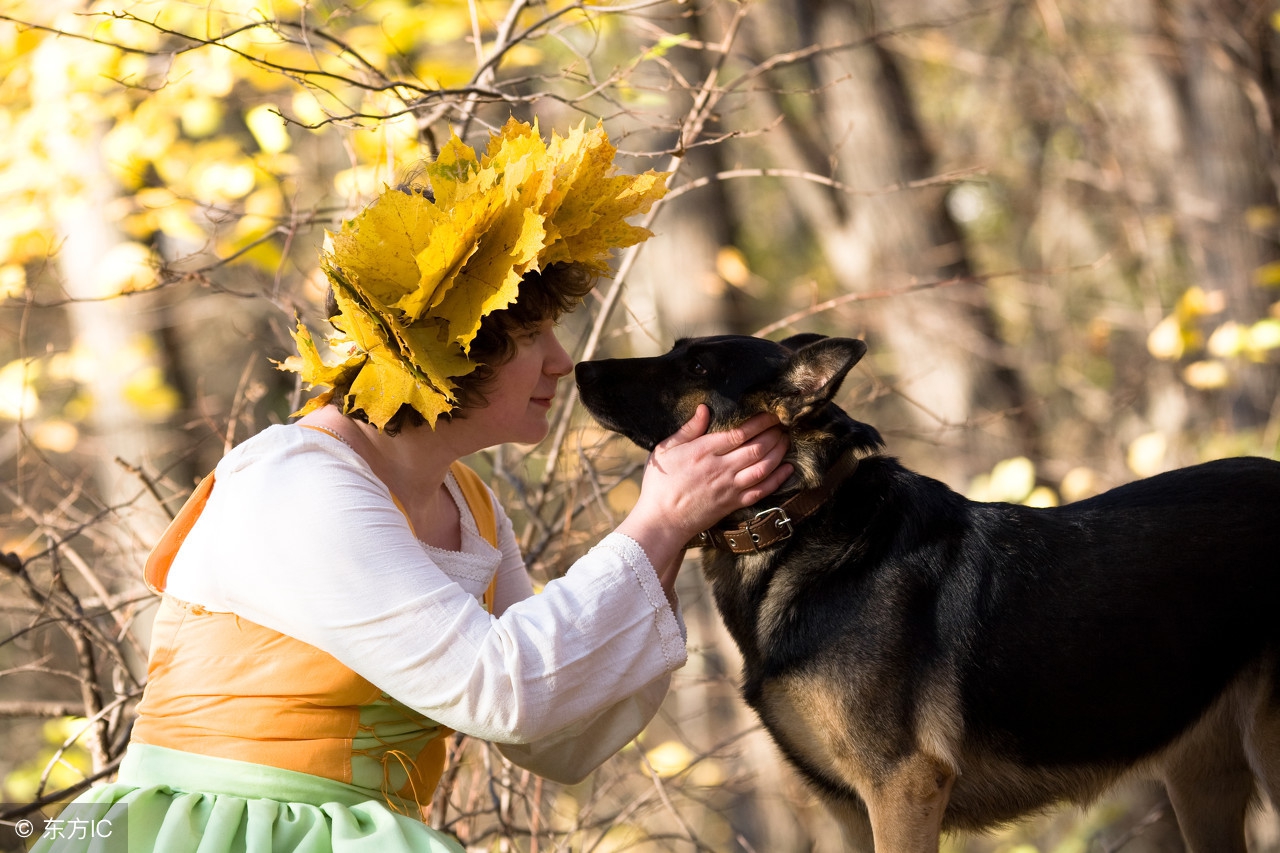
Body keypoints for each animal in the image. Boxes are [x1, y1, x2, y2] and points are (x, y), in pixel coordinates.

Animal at [576, 333, 1280, 850]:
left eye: (696, 364)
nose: (579, 367)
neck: (802, 517)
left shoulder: (903, 789)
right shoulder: (850, 811)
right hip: (1201, 783)